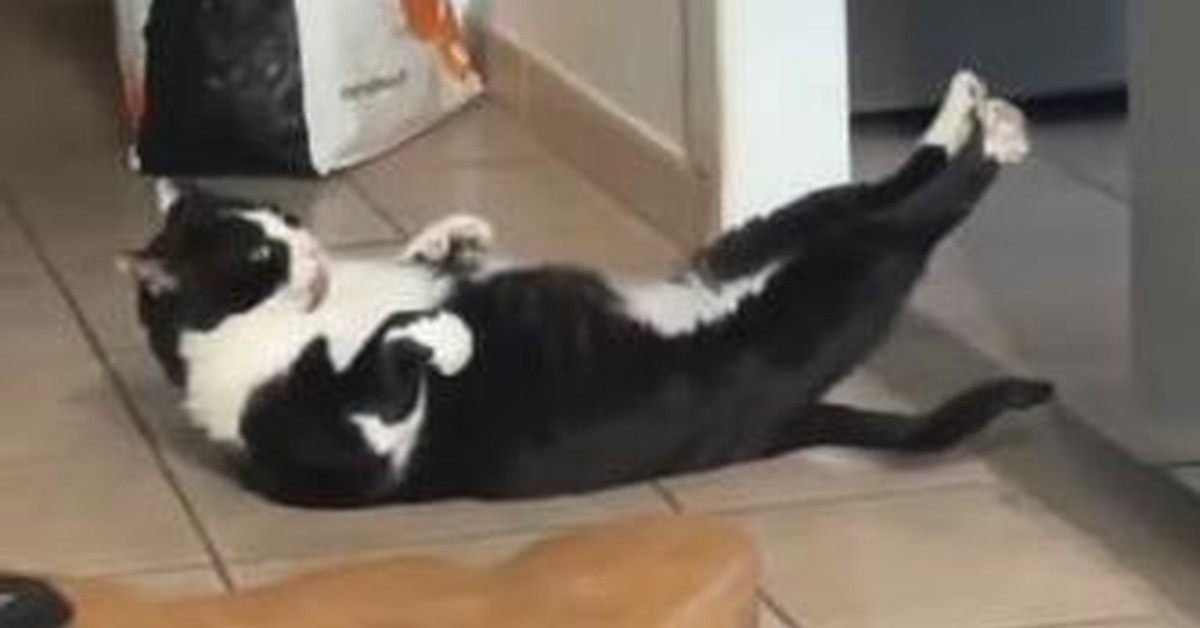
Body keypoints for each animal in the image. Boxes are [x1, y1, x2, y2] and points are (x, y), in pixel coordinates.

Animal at [122, 71, 1053, 508]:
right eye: (259, 253)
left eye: (281, 216)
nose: (306, 243)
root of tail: (777, 426)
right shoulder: (357, 442)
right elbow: (395, 344)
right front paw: (449, 333)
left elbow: (423, 266)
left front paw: (453, 237)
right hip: (818, 297)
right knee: (906, 224)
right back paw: (997, 137)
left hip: (771, 234)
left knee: (880, 188)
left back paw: (966, 107)